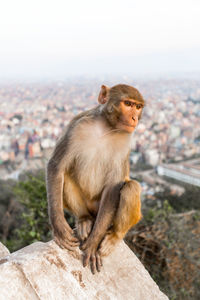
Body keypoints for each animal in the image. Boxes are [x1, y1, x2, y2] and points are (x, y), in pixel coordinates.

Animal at [46, 83, 145, 274]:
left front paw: (93, 243)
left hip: (104, 214)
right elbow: (57, 166)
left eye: (138, 107)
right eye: (128, 104)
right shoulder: (77, 126)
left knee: (131, 188)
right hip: (88, 206)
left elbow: (113, 187)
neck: (106, 128)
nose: (134, 118)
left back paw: (113, 237)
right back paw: (84, 220)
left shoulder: (125, 139)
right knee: (65, 176)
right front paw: (59, 226)